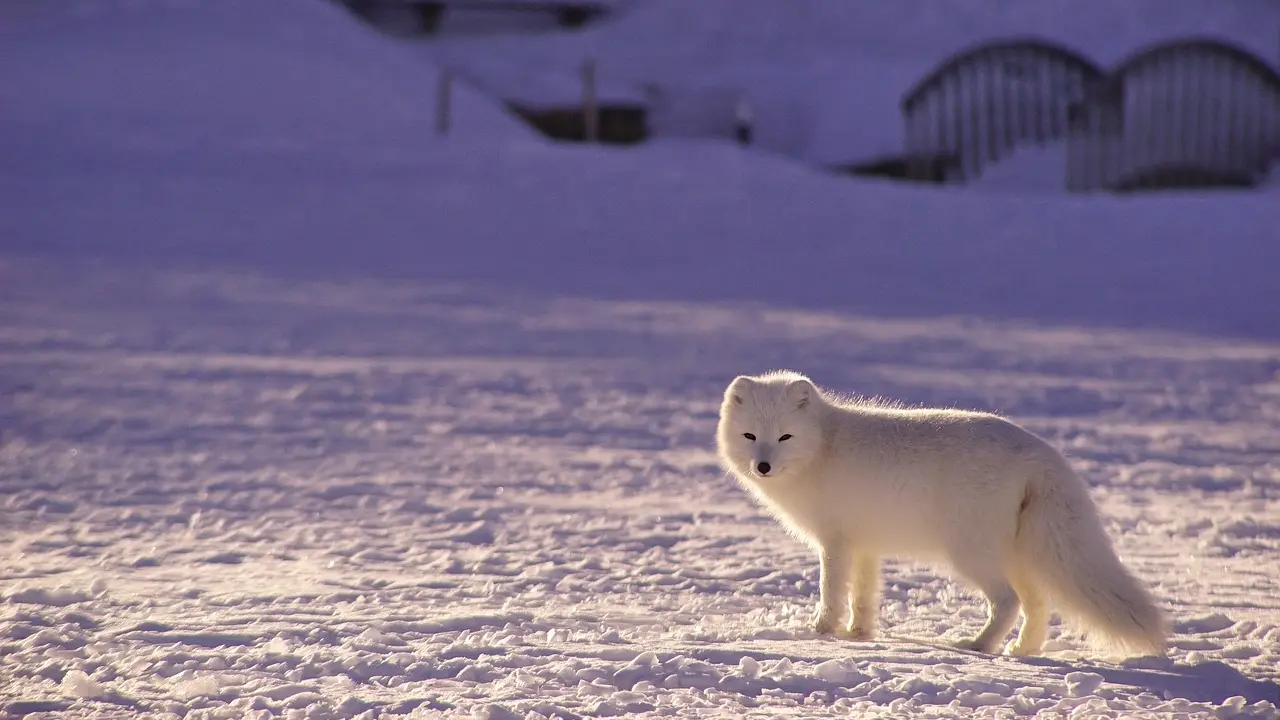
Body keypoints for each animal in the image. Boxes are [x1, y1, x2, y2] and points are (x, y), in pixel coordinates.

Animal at [716, 368, 1167, 655]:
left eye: (785, 437)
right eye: (750, 436)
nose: (763, 466)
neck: (823, 447)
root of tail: (1042, 452)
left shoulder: (836, 543)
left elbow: (831, 591)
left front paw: (821, 631)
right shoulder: (865, 545)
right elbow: (864, 595)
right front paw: (859, 634)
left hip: (970, 554)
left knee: (1008, 601)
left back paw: (980, 645)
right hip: (1019, 555)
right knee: (1038, 603)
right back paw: (1023, 650)